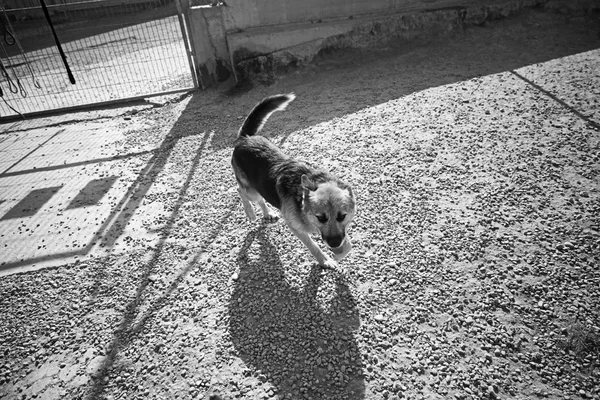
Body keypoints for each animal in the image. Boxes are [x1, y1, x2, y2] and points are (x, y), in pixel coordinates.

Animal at [231, 94, 356, 268]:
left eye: (342, 216)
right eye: (320, 218)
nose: (334, 244)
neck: (301, 200)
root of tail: (245, 138)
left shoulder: (341, 232)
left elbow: (348, 246)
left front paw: (337, 255)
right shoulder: (297, 229)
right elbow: (314, 246)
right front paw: (325, 260)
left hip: (258, 187)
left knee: (260, 198)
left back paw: (268, 213)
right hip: (251, 191)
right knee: (241, 191)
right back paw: (250, 212)